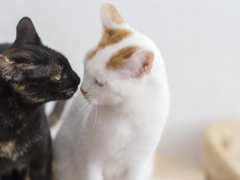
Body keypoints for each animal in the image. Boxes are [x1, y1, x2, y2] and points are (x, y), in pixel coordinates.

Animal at [54, 3, 171, 180]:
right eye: (85, 68)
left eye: (100, 83)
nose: (83, 89)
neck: (123, 115)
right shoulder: (89, 159)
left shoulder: (137, 166)